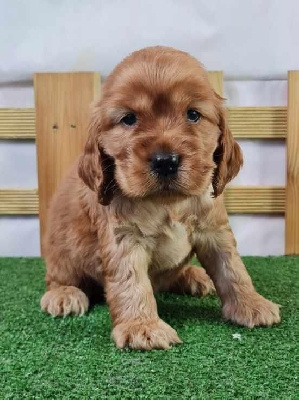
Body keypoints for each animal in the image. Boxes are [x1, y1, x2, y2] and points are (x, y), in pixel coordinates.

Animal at [40, 46, 282, 350]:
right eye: (129, 118)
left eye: (193, 114)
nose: (165, 161)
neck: (168, 204)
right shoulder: (123, 236)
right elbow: (131, 281)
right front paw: (142, 327)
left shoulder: (215, 230)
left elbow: (233, 268)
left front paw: (251, 303)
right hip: (62, 252)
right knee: (57, 278)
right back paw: (64, 295)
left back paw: (194, 276)